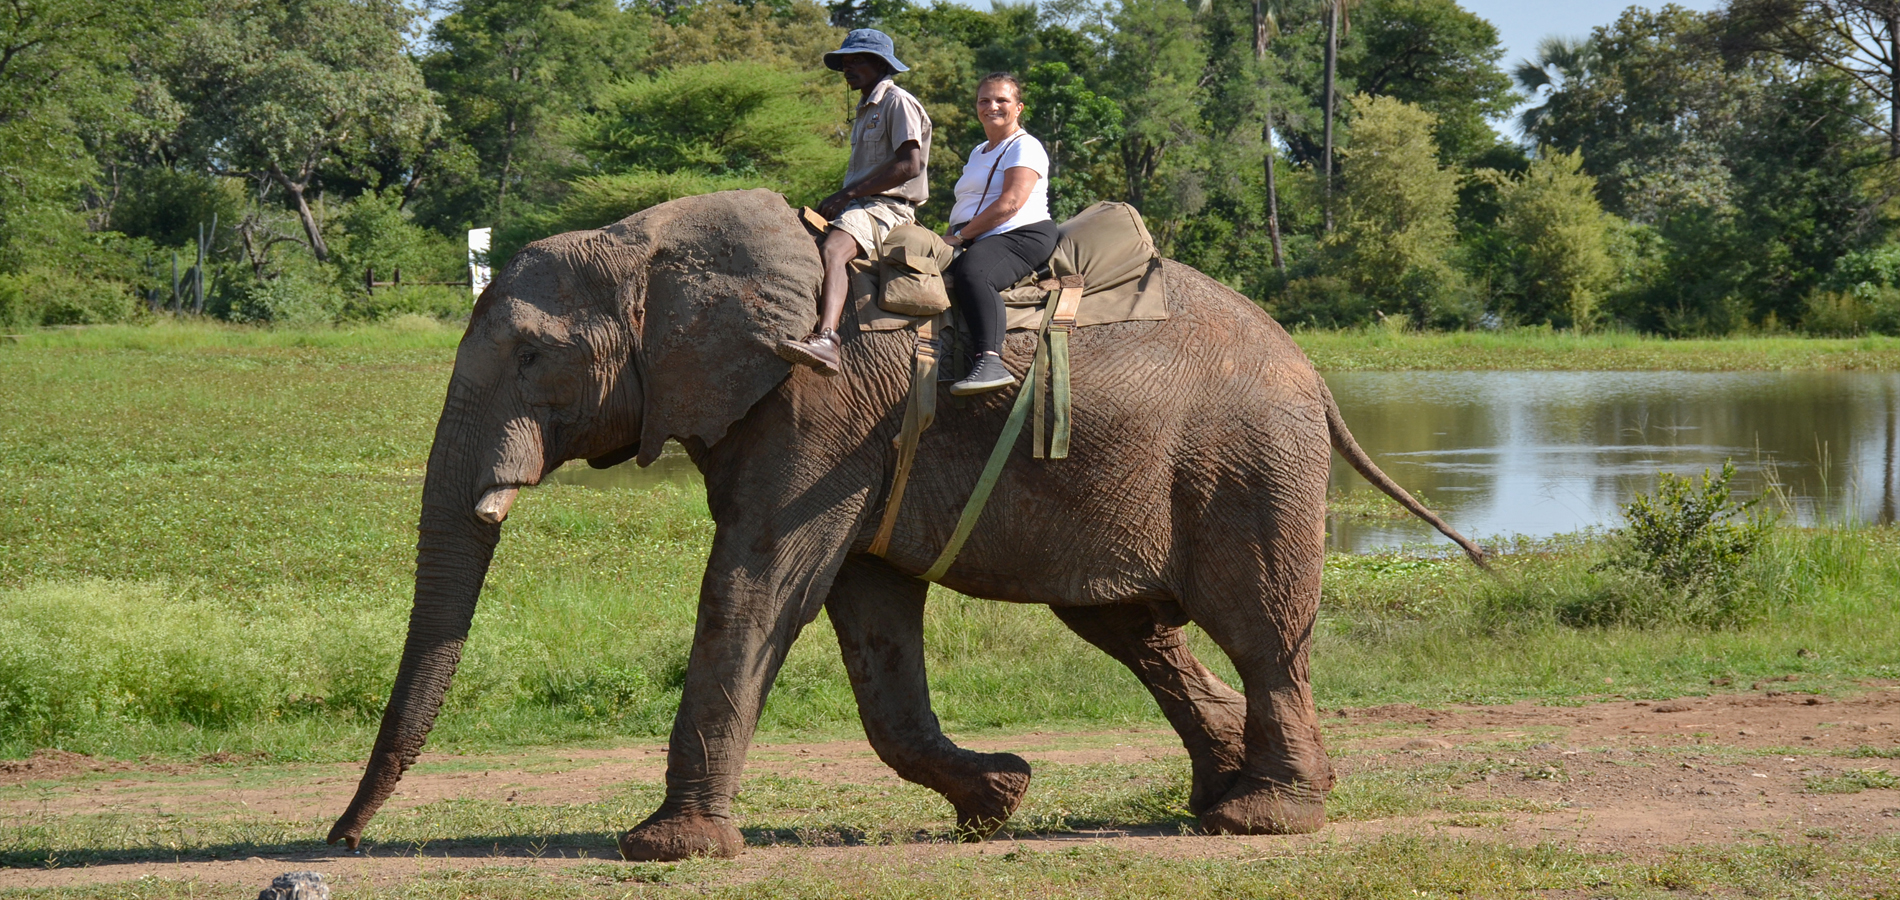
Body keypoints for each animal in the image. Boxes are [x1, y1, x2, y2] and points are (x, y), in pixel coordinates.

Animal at [325, 189, 1482, 861]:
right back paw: (1214, 798)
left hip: (1247, 463)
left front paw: (664, 849)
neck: (650, 240)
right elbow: (865, 612)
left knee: (1259, 628)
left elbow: (756, 583)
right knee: (1132, 628)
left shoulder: (825, 404)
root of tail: (1315, 375)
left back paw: (1259, 819)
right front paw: (998, 798)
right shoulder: (833, 432)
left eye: (532, 357)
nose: (337, 842)